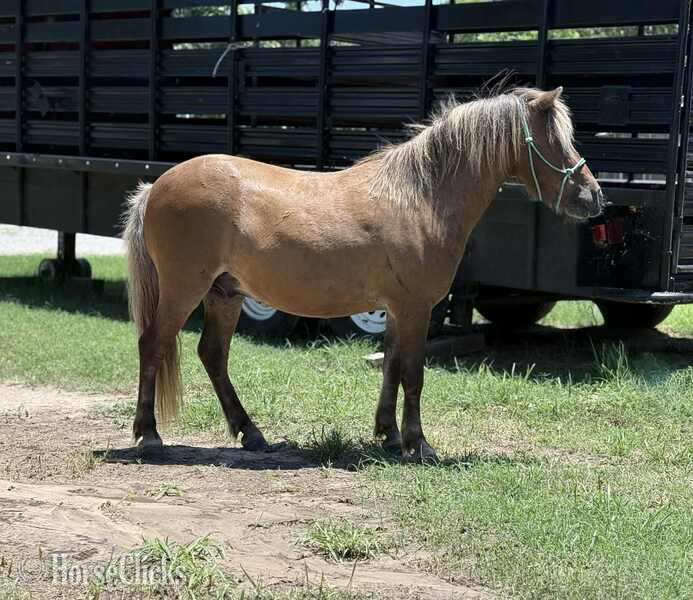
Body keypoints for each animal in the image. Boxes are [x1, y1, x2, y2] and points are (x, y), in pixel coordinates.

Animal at [122, 86, 603, 460]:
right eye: (553, 138)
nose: (593, 196)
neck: (421, 198)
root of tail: (156, 186)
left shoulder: (397, 309)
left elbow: (390, 365)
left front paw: (388, 435)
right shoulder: (415, 308)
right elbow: (413, 373)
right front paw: (418, 444)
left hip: (225, 294)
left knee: (212, 355)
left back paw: (251, 434)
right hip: (185, 289)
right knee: (153, 345)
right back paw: (150, 436)